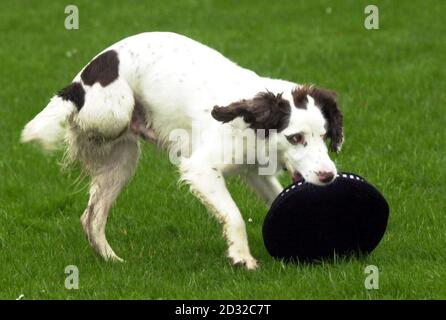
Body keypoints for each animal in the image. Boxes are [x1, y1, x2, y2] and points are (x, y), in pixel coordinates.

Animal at [20, 31, 344, 270]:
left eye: (325, 136)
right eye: (295, 138)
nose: (329, 176)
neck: (250, 120)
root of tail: (79, 83)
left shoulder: (256, 172)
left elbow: (275, 197)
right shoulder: (201, 168)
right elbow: (234, 215)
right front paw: (242, 257)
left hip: (121, 159)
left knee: (92, 218)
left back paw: (112, 260)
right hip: (114, 115)